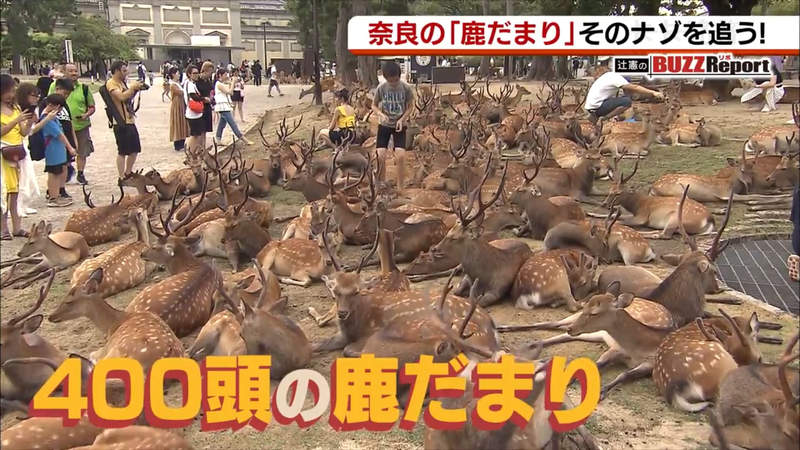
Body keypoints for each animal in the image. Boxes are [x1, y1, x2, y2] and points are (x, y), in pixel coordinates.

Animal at [48, 267, 185, 372]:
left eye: (69, 301)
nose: (51, 316)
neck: (111, 324)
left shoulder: (105, 348)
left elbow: (92, 354)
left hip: (114, 354)